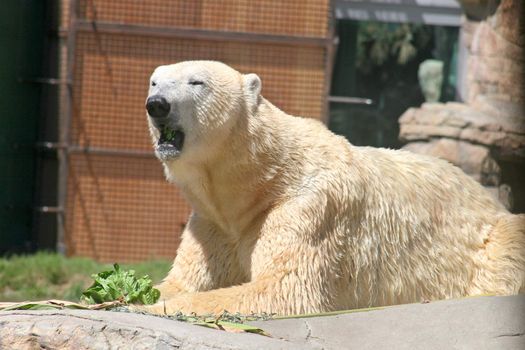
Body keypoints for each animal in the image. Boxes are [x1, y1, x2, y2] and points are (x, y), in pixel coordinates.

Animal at [140, 61, 524, 316]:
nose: (157, 105)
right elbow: (187, 278)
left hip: (492, 236)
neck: (263, 179)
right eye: (155, 82)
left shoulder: (308, 209)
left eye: (197, 82)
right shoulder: (213, 224)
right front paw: (139, 293)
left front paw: (159, 305)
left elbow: (285, 288)